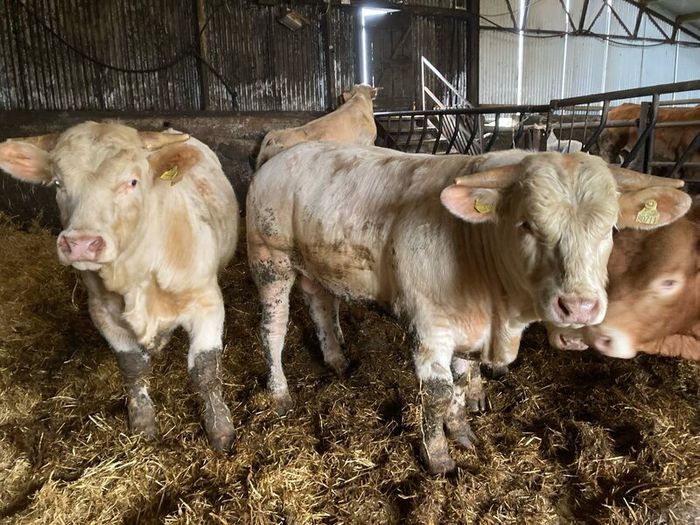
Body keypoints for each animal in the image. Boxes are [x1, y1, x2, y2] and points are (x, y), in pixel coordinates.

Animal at [0, 122, 238, 451]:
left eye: (133, 181)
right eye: (59, 183)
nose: (81, 243)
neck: (136, 277)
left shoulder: (207, 304)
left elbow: (205, 370)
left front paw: (220, 429)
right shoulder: (102, 312)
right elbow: (132, 367)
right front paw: (142, 424)